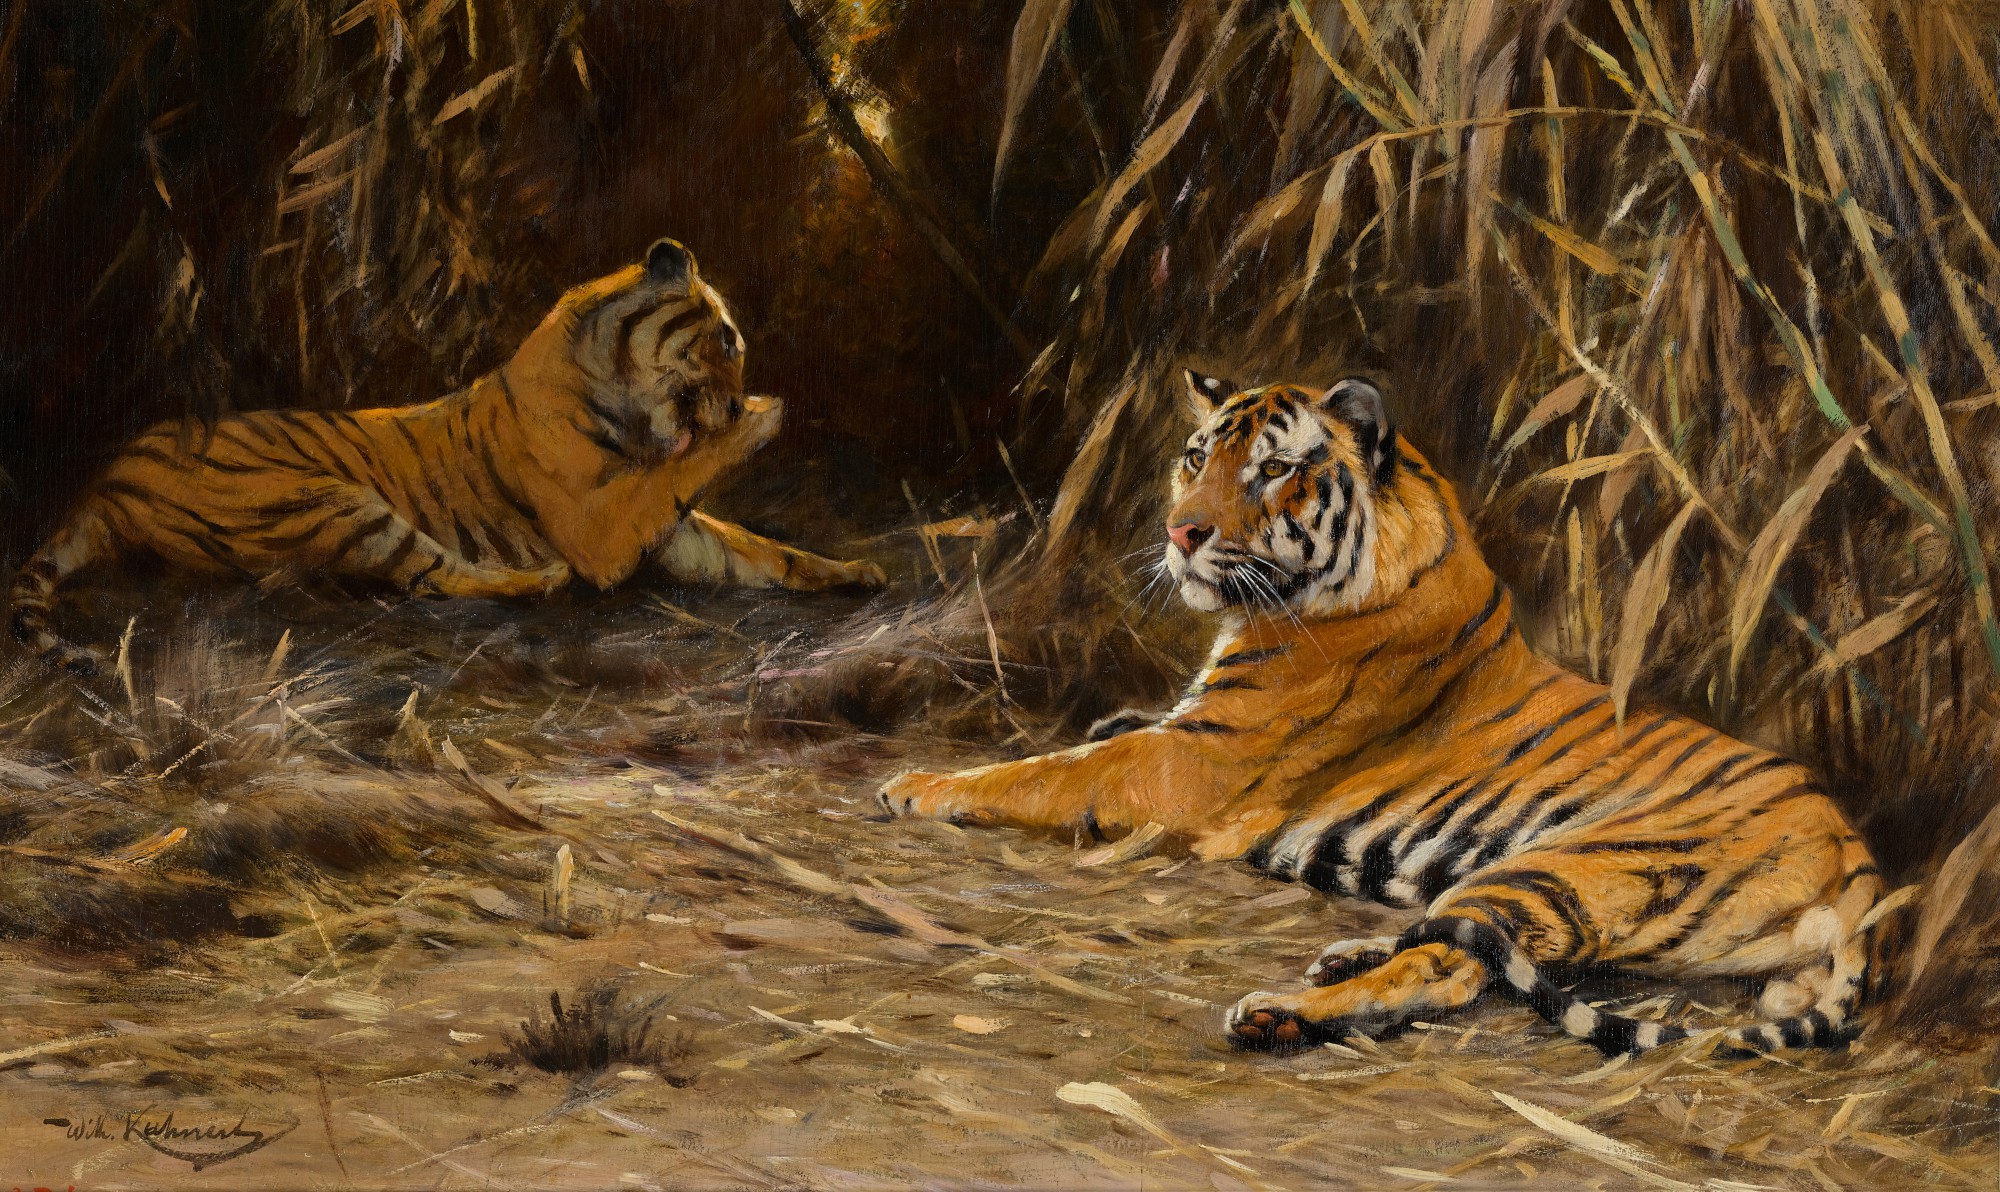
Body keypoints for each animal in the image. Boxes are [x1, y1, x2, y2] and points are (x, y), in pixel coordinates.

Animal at [11, 238, 886, 672]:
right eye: (727, 340)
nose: (735, 400)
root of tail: (105, 478)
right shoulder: (603, 525)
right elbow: (685, 473)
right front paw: (764, 417)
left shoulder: (671, 531)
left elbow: (766, 551)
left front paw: (856, 571)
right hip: (331, 504)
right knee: (432, 577)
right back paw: (537, 581)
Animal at [881, 369, 1888, 1057]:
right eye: (1197, 457)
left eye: (1274, 469)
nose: (1180, 532)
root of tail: (1862, 862)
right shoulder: (1182, 731)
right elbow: (1101, 735)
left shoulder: (1193, 764)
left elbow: (1049, 772)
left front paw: (916, 785)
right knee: (1467, 943)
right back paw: (1342, 956)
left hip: (1568, 865)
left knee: (1450, 967)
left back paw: (1286, 1009)